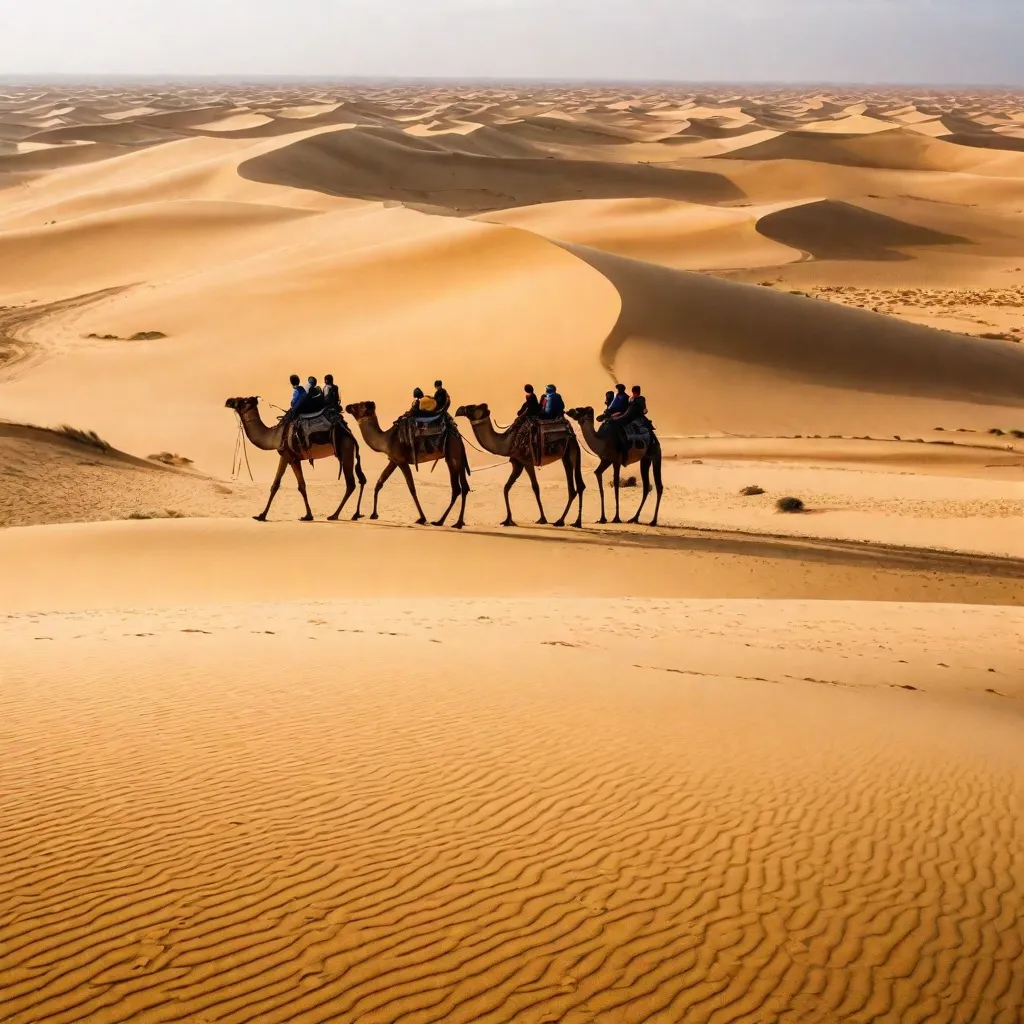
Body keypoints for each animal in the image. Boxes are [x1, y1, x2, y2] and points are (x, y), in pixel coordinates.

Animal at [226, 395, 366, 524]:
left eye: (242, 400)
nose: (228, 401)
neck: (275, 436)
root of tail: (349, 434)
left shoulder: (290, 456)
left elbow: (290, 485)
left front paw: (262, 516)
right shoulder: (289, 457)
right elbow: (287, 485)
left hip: (346, 449)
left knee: (351, 483)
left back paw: (334, 515)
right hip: (347, 451)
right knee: (361, 480)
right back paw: (355, 514)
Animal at [344, 399, 471, 528]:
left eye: (357, 406)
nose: (347, 406)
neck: (385, 439)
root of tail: (456, 434)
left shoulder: (402, 461)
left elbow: (412, 488)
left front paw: (422, 518)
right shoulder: (393, 460)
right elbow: (379, 483)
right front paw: (373, 514)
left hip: (452, 456)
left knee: (457, 488)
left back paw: (440, 521)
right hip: (459, 457)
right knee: (465, 487)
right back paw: (458, 522)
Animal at [456, 401, 585, 528]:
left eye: (471, 407)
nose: (458, 410)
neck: (508, 442)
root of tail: (571, 432)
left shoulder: (526, 461)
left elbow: (535, 487)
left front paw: (542, 518)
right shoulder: (517, 463)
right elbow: (506, 487)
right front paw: (508, 520)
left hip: (570, 451)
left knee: (576, 486)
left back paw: (568, 521)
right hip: (568, 454)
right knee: (576, 487)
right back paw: (568, 521)